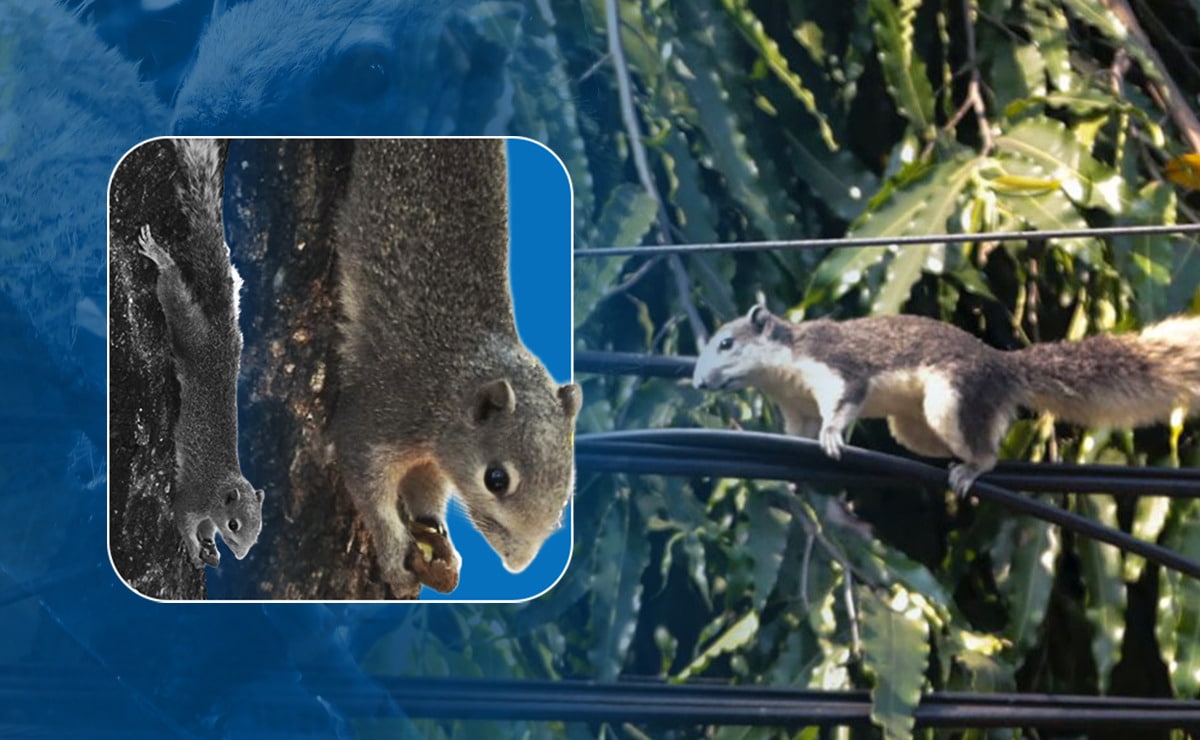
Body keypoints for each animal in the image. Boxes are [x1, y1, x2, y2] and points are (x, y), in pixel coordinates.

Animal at [136, 138, 263, 569]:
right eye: (235, 525)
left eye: (259, 532)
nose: (241, 555)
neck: (221, 488)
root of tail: (224, 334)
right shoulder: (193, 496)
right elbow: (181, 516)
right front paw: (194, 548)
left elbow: (204, 528)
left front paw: (210, 546)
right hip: (191, 331)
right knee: (174, 291)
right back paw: (160, 257)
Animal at [330, 138, 580, 598]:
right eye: (495, 479)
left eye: (567, 487)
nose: (518, 565)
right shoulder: (386, 408)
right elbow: (364, 477)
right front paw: (395, 557)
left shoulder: (430, 457)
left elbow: (426, 488)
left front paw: (436, 533)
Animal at [693, 304, 1200, 496]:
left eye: (726, 344)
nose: (698, 383)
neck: (784, 370)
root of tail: (1001, 366)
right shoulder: (795, 407)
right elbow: (797, 435)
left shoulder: (837, 366)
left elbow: (845, 399)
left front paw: (834, 436)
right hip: (913, 426)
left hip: (954, 396)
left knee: (986, 450)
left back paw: (972, 468)